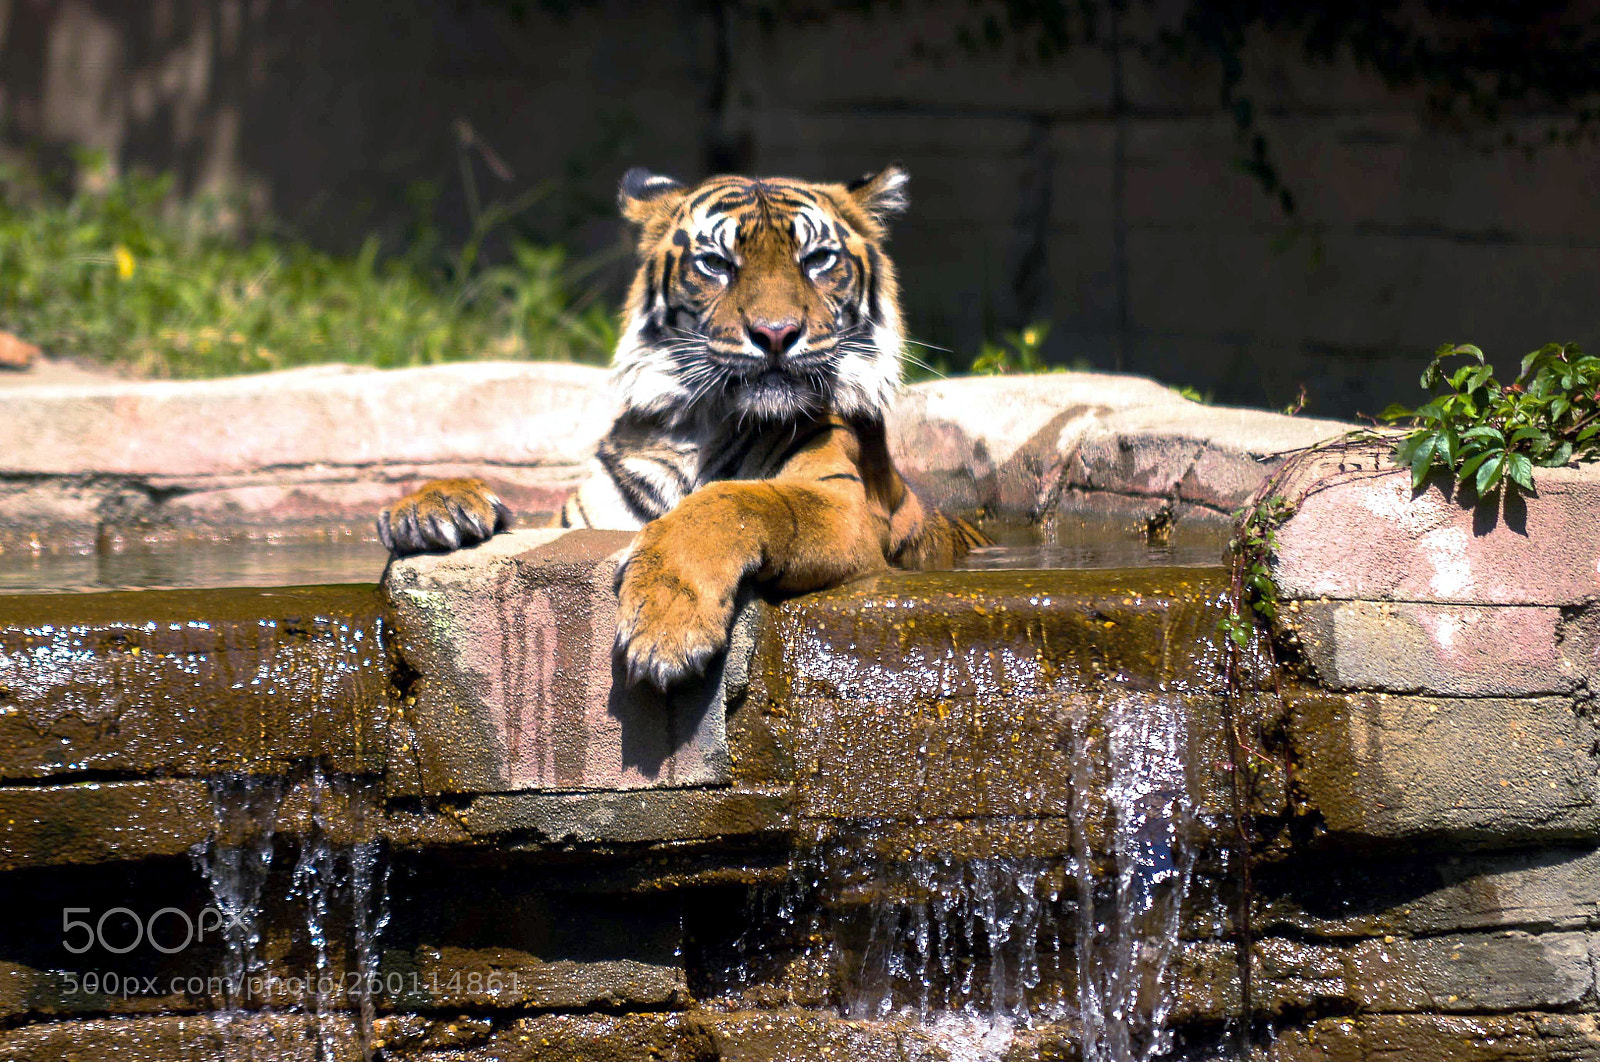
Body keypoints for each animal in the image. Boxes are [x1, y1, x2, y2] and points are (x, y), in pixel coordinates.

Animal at [378, 165, 986, 688]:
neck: (703, 426)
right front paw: (433, 506)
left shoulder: (844, 509)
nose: (776, 333)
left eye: (816, 260)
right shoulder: (583, 516)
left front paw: (667, 626)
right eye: (716, 263)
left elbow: (734, 501)